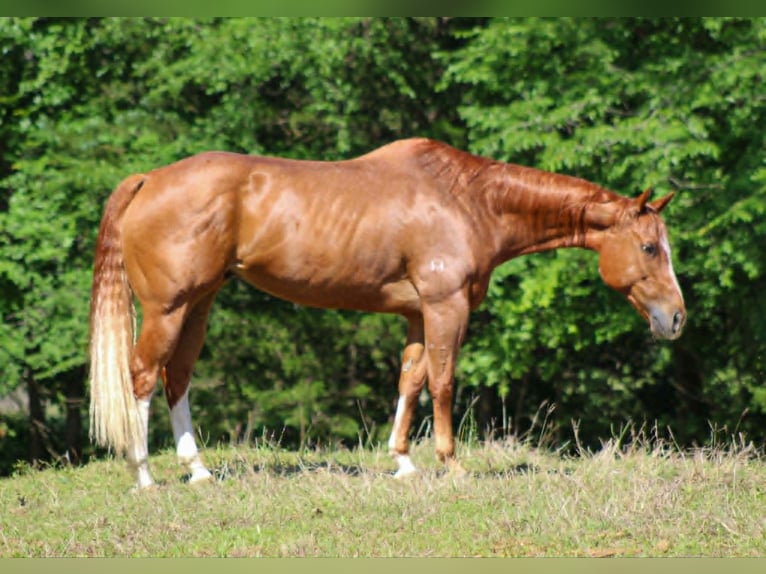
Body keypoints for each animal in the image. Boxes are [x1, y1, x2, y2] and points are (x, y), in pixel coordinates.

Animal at [88, 138, 686, 489]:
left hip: (200, 303)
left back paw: (198, 471)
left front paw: (402, 461)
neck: (469, 201)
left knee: (177, 378)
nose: (676, 318)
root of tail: (150, 178)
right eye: (650, 248)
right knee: (143, 376)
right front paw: (451, 464)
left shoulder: (418, 314)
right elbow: (443, 382)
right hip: (168, 308)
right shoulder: (447, 308)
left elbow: (410, 381)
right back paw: (143, 474)